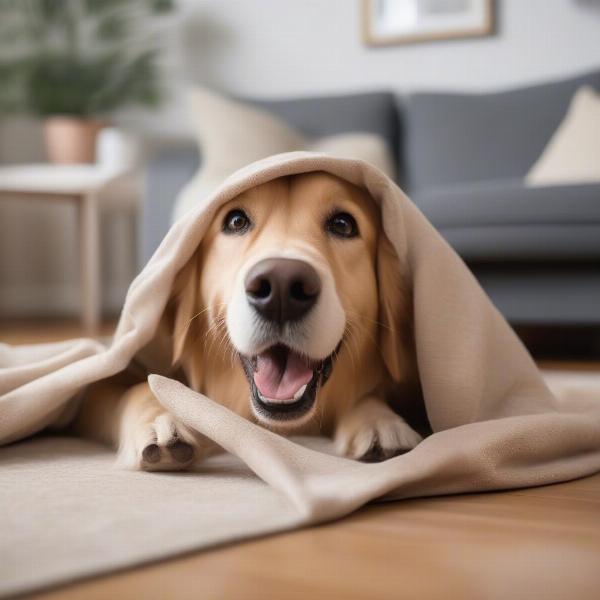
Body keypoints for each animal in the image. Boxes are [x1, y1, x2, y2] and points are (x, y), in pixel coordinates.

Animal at [71, 171, 422, 472]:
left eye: (343, 224)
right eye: (236, 221)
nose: (281, 288)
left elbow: (368, 395)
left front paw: (382, 423)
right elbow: (133, 387)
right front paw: (162, 422)